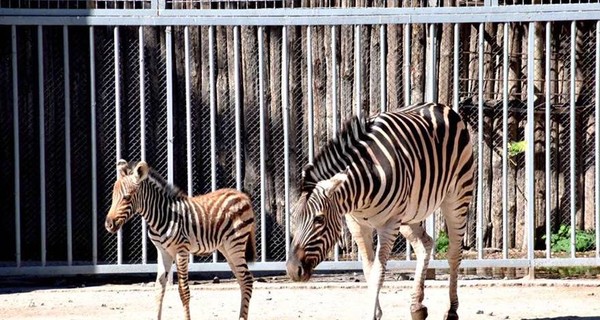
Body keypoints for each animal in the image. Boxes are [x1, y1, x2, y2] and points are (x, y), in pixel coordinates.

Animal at [105, 160, 255, 320]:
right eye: (113, 196)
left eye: (127, 197)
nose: (108, 225)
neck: (162, 215)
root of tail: (242, 195)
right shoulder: (163, 252)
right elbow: (159, 287)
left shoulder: (181, 251)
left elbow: (183, 290)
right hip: (226, 247)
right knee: (242, 280)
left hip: (236, 243)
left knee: (247, 279)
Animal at [288, 102, 476, 320]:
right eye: (294, 219)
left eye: (318, 219)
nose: (291, 270)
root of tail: (439, 105)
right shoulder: (357, 224)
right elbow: (369, 270)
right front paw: (376, 312)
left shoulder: (389, 223)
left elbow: (378, 272)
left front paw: (372, 313)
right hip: (410, 213)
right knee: (425, 244)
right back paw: (417, 307)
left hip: (457, 197)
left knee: (454, 253)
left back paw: (452, 310)